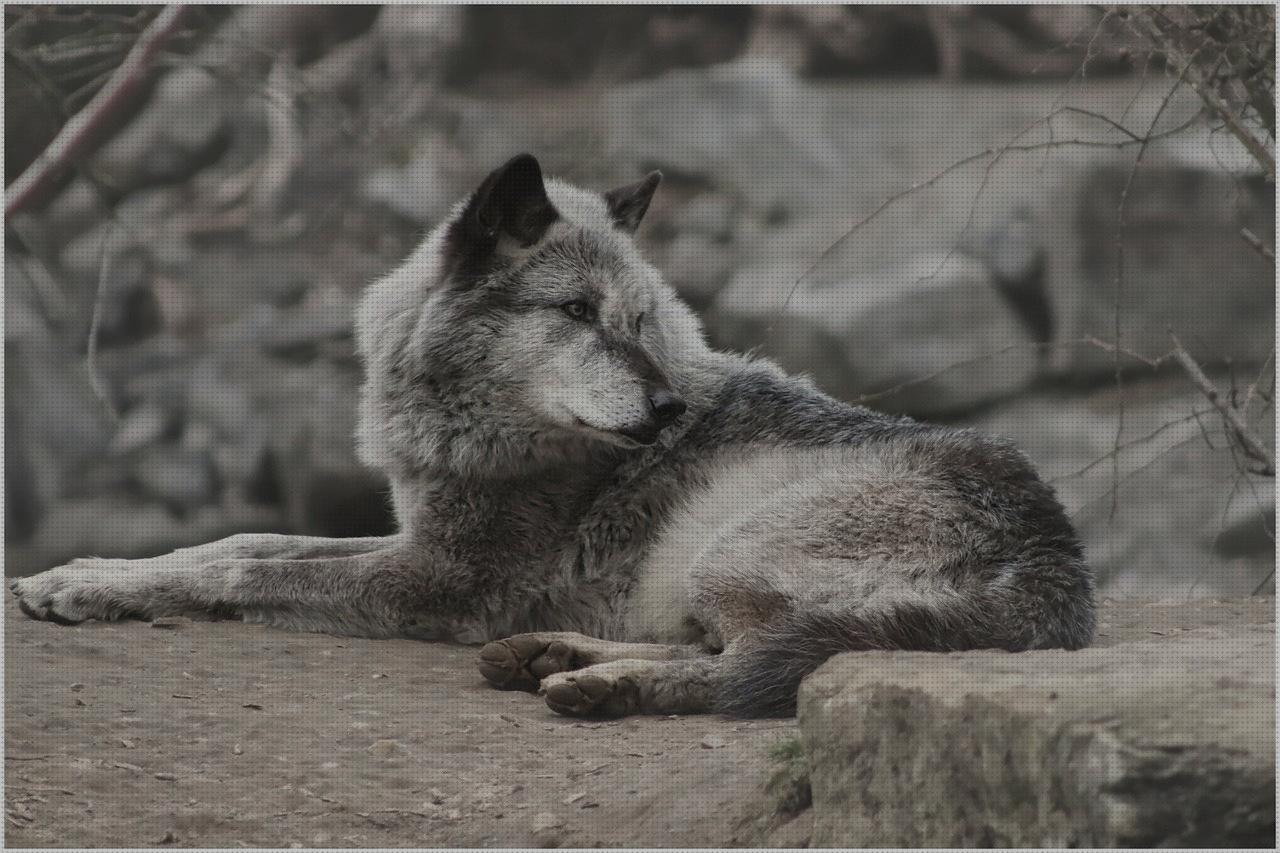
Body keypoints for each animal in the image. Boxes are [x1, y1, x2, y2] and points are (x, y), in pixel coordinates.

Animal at [10, 154, 1095, 717]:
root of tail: (1058, 565)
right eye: (576, 311)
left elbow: (241, 563)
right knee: (725, 645)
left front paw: (86, 585)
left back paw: (597, 683)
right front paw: (80, 574)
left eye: (640, 320)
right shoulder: (420, 537)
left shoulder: (443, 578)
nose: (667, 413)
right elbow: (239, 538)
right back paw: (550, 655)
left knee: (752, 667)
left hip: (732, 547)